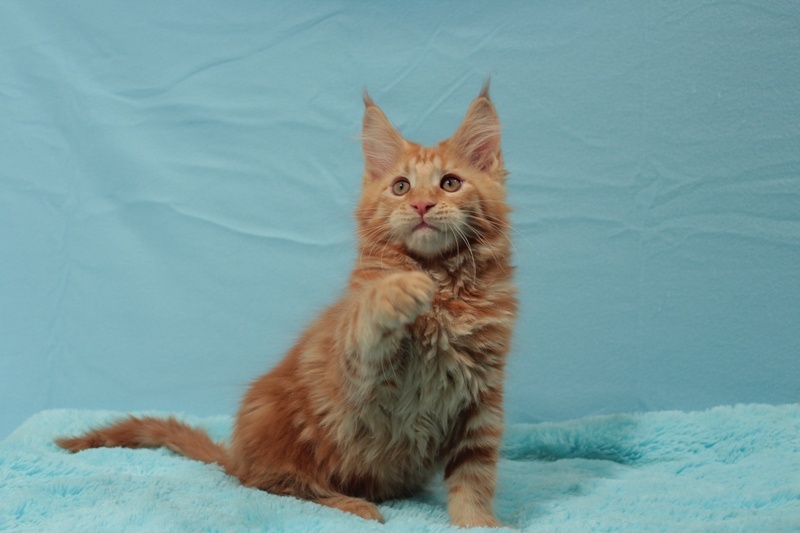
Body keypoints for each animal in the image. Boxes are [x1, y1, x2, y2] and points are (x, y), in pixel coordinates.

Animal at [56, 82, 517, 528]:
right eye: (401, 186)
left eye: (450, 183)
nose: (421, 204)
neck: (443, 286)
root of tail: (237, 456)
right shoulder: (357, 377)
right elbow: (364, 318)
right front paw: (398, 290)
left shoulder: (481, 402)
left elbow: (474, 476)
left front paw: (479, 523)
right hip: (281, 428)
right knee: (282, 486)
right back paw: (353, 504)